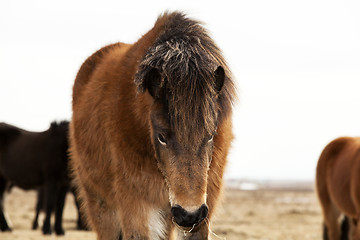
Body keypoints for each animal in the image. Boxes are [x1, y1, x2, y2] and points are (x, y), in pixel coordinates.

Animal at [69, 11, 236, 240]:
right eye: (161, 136)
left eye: (211, 135)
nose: (188, 215)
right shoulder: (136, 204)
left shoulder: (204, 210)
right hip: (100, 204)